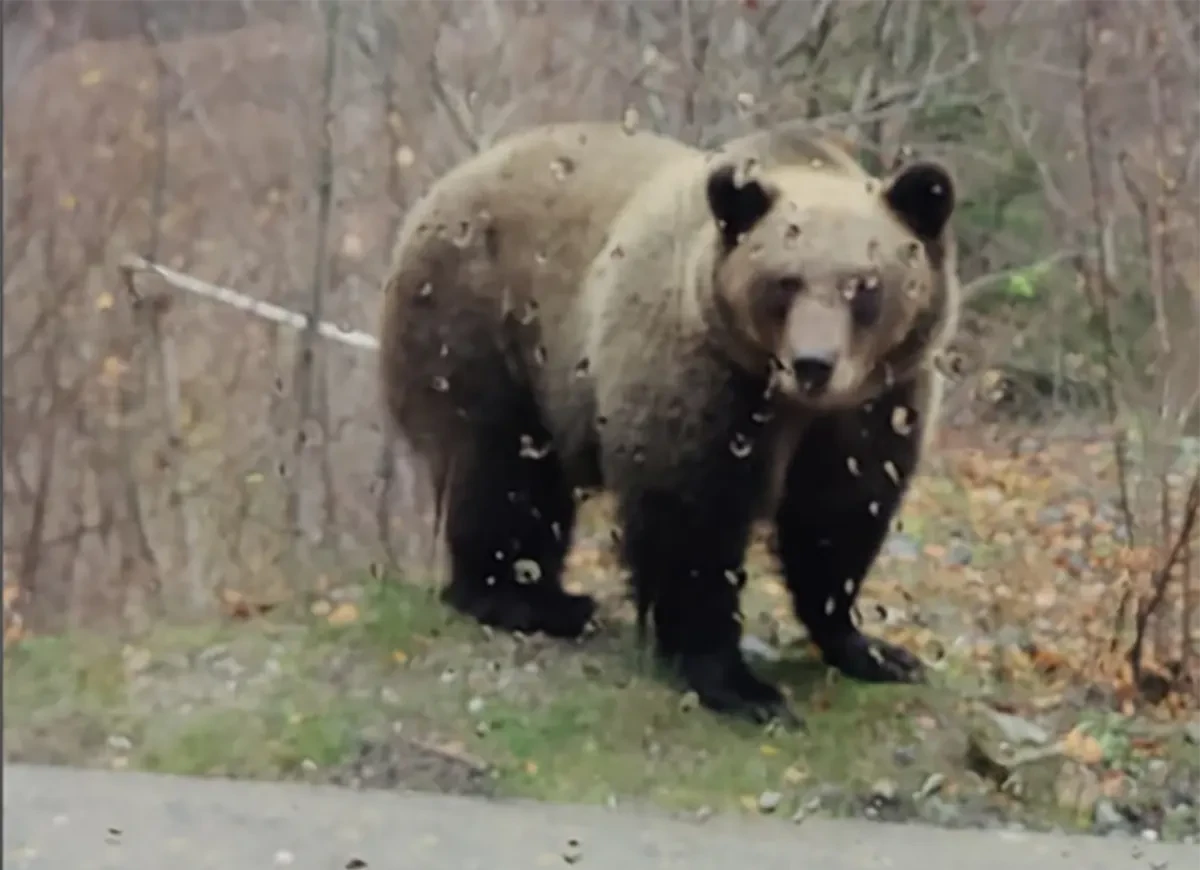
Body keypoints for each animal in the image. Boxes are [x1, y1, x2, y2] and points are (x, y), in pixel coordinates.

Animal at [379, 118, 960, 724]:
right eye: (785, 282)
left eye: (864, 285)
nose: (813, 364)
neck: (788, 400)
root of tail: (440, 191)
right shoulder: (703, 374)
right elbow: (693, 519)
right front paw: (740, 686)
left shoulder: (878, 400)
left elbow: (839, 513)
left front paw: (873, 649)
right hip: (484, 320)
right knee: (503, 471)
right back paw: (524, 600)